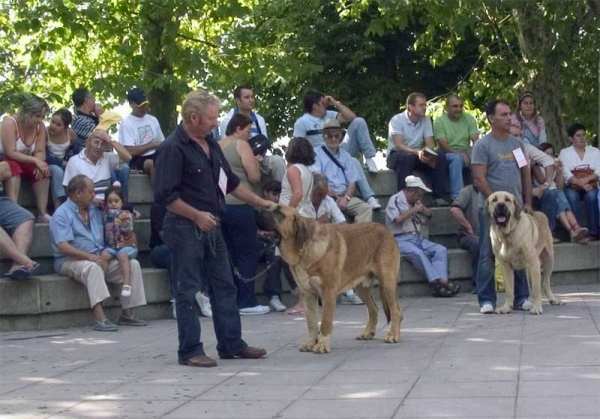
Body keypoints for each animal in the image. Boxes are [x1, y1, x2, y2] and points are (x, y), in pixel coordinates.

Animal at [258, 206, 404, 354]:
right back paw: (368, 333)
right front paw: (310, 342)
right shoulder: (308, 294)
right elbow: (311, 322)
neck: (303, 250)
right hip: (361, 287)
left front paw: (322, 345)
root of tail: (386, 230)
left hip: (387, 281)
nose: (257, 211)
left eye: (278, 212)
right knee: (373, 308)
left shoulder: (328, 292)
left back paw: (393, 335)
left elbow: (325, 322)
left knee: (396, 311)